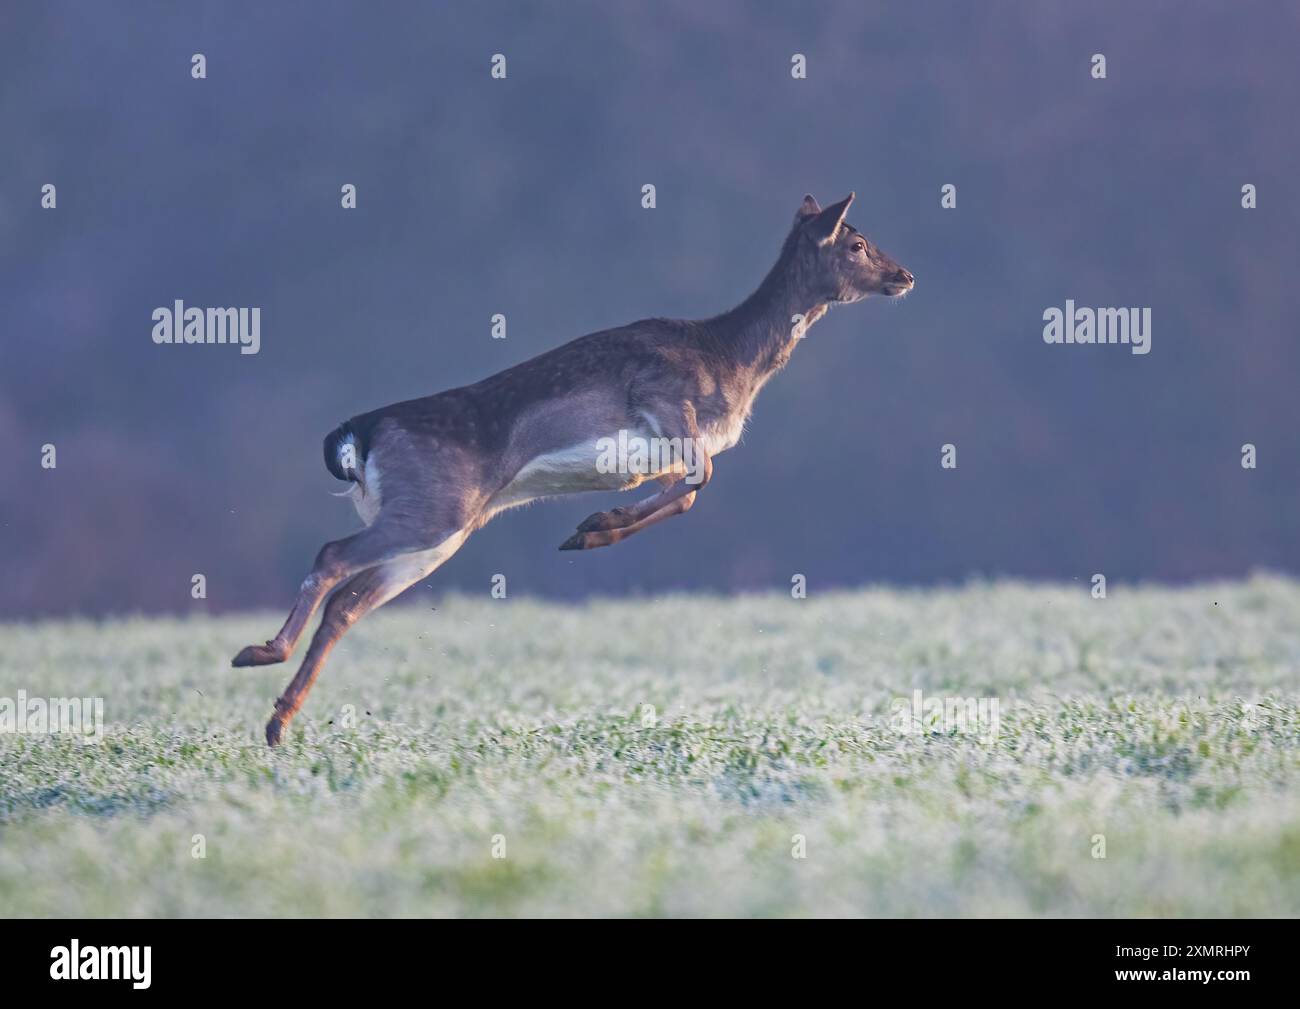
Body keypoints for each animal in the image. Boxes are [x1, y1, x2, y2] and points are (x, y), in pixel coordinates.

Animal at [239, 193, 920, 743]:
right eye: (857, 242)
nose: (906, 275)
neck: (733, 362)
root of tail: (358, 434)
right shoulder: (664, 403)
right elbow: (698, 484)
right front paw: (594, 527)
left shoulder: (665, 447)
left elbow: (684, 491)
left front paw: (591, 527)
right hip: (432, 508)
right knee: (331, 556)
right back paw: (260, 653)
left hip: (438, 530)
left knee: (348, 602)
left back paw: (278, 720)